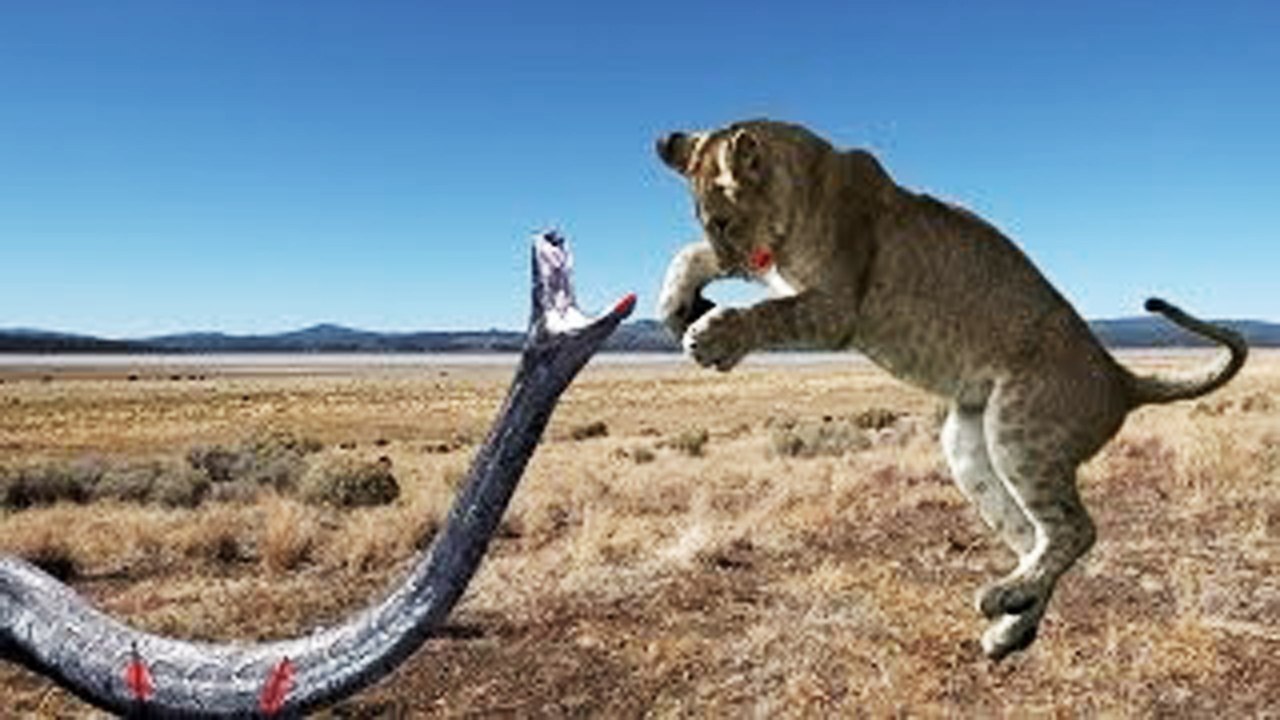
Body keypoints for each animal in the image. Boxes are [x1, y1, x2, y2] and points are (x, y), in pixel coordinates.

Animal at [655, 119, 1247, 660]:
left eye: (724, 219)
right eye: (705, 220)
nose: (730, 259)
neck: (801, 185)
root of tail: (1119, 376)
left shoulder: (835, 309)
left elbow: (769, 313)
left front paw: (712, 335)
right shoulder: (777, 273)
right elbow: (686, 254)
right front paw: (676, 307)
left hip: (1019, 428)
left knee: (1076, 530)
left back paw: (1003, 600)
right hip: (969, 444)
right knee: (1035, 535)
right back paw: (1009, 627)